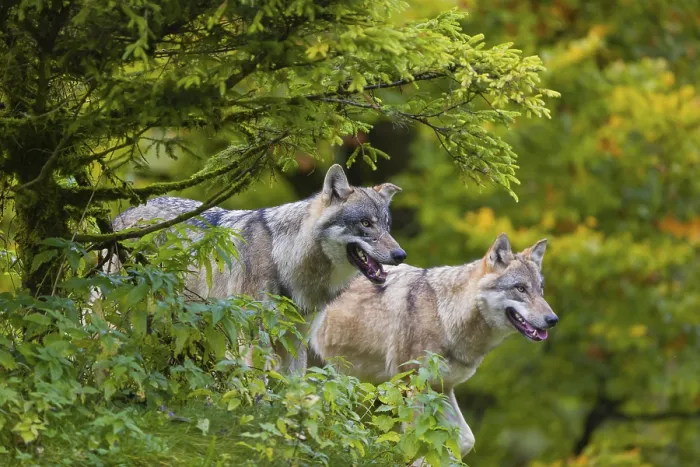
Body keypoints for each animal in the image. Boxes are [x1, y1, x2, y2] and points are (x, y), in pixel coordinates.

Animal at [111, 164, 406, 372]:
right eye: (366, 224)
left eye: (386, 225)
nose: (400, 254)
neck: (285, 259)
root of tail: (118, 218)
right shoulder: (254, 339)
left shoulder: (295, 341)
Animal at [311, 233, 558, 459]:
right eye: (521, 288)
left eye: (540, 289)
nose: (553, 319)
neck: (444, 315)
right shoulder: (411, 386)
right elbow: (415, 443)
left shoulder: (442, 388)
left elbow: (464, 439)